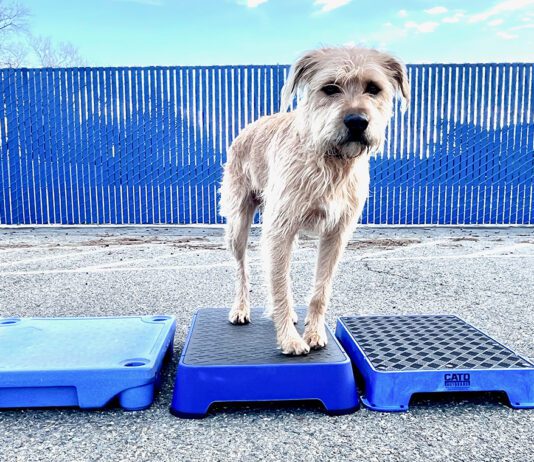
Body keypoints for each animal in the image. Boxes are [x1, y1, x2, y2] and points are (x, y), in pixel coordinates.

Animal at [220, 47, 408, 356]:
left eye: (373, 88)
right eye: (330, 88)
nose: (357, 121)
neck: (330, 159)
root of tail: (250, 125)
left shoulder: (336, 234)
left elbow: (320, 290)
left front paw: (314, 333)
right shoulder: (279, 230)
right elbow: (280, 286)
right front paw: (289, 340)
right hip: (238, 223)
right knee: (241, 268)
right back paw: (240, 309)